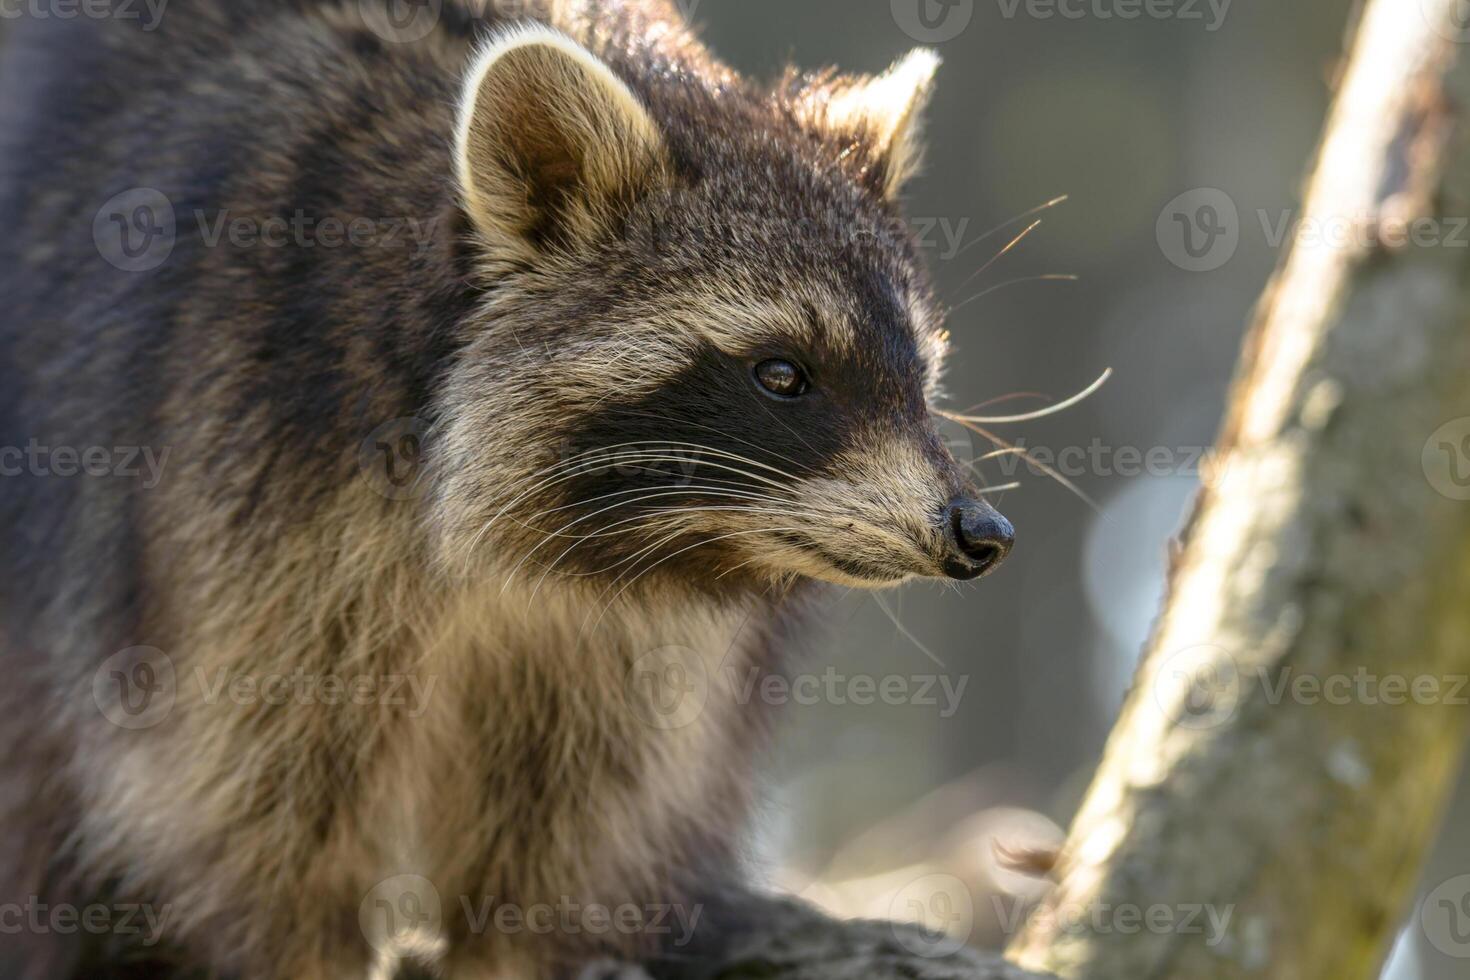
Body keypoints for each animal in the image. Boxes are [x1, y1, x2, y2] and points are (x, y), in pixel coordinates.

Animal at [0, 1, 1011, 980]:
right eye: (783, 374)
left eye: (920, 377)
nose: (980, 530)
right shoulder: (241, 494)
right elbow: (272, 855)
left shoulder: (624, 662)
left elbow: (541, 879)